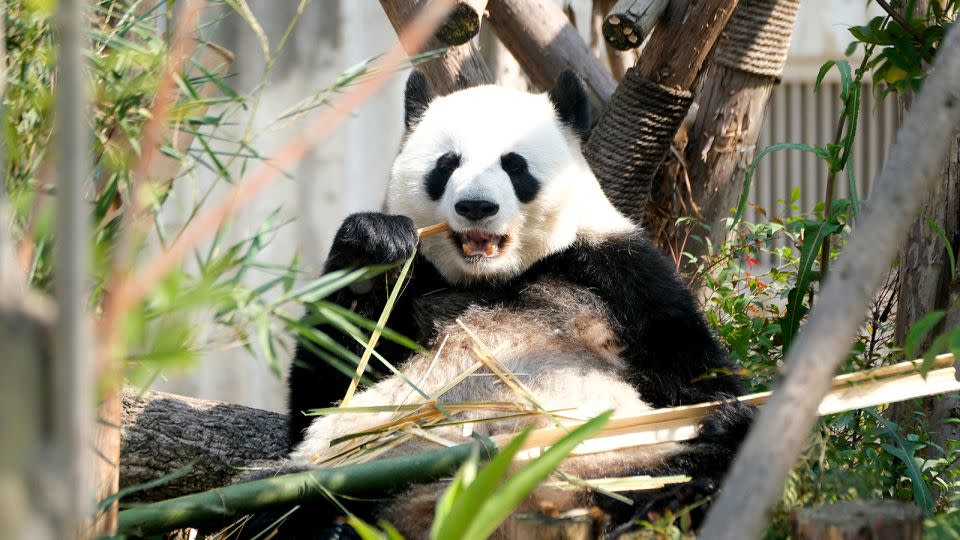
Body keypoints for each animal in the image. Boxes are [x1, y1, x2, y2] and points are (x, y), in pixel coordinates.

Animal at [260, 69, 752, 536]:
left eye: (515, 166)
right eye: (447, 164)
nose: (476, 206)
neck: (498, 278)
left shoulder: (621, 274)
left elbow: (692, 374)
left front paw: (728, 417)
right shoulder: (420, 285)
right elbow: (323, 394)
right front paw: (370, 254)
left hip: (615, 459)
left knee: (676, 474)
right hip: (368, 468)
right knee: (294, 493)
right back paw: (339, 529)